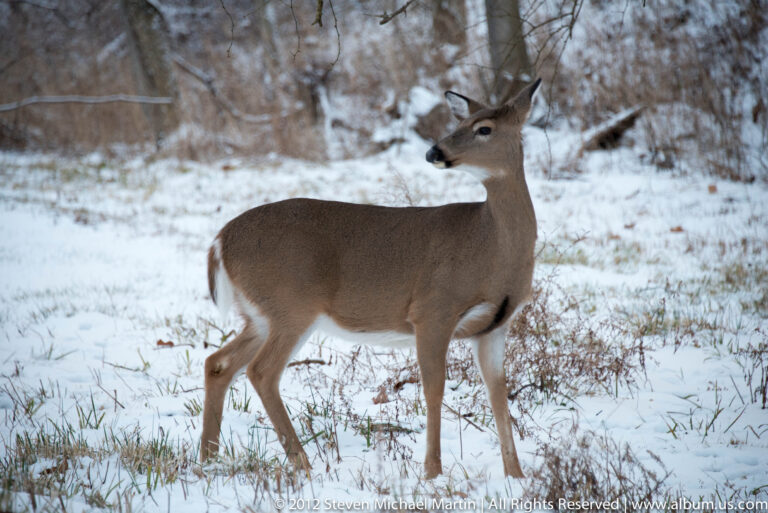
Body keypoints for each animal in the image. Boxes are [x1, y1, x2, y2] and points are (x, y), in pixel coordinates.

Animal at [200, 78, 542, 479]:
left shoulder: (495, 326)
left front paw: (516, 476)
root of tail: (220, 240)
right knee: (262, 371)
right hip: (291, 306)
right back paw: (303, 464)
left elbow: (498, 393)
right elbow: (434, 389)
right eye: (459, 123)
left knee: (218, 363)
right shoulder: (432, 310)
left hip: (260, 314)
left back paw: (207, 459)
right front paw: (432, 472)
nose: (434, 151)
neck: (490, 245)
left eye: (483, 128)